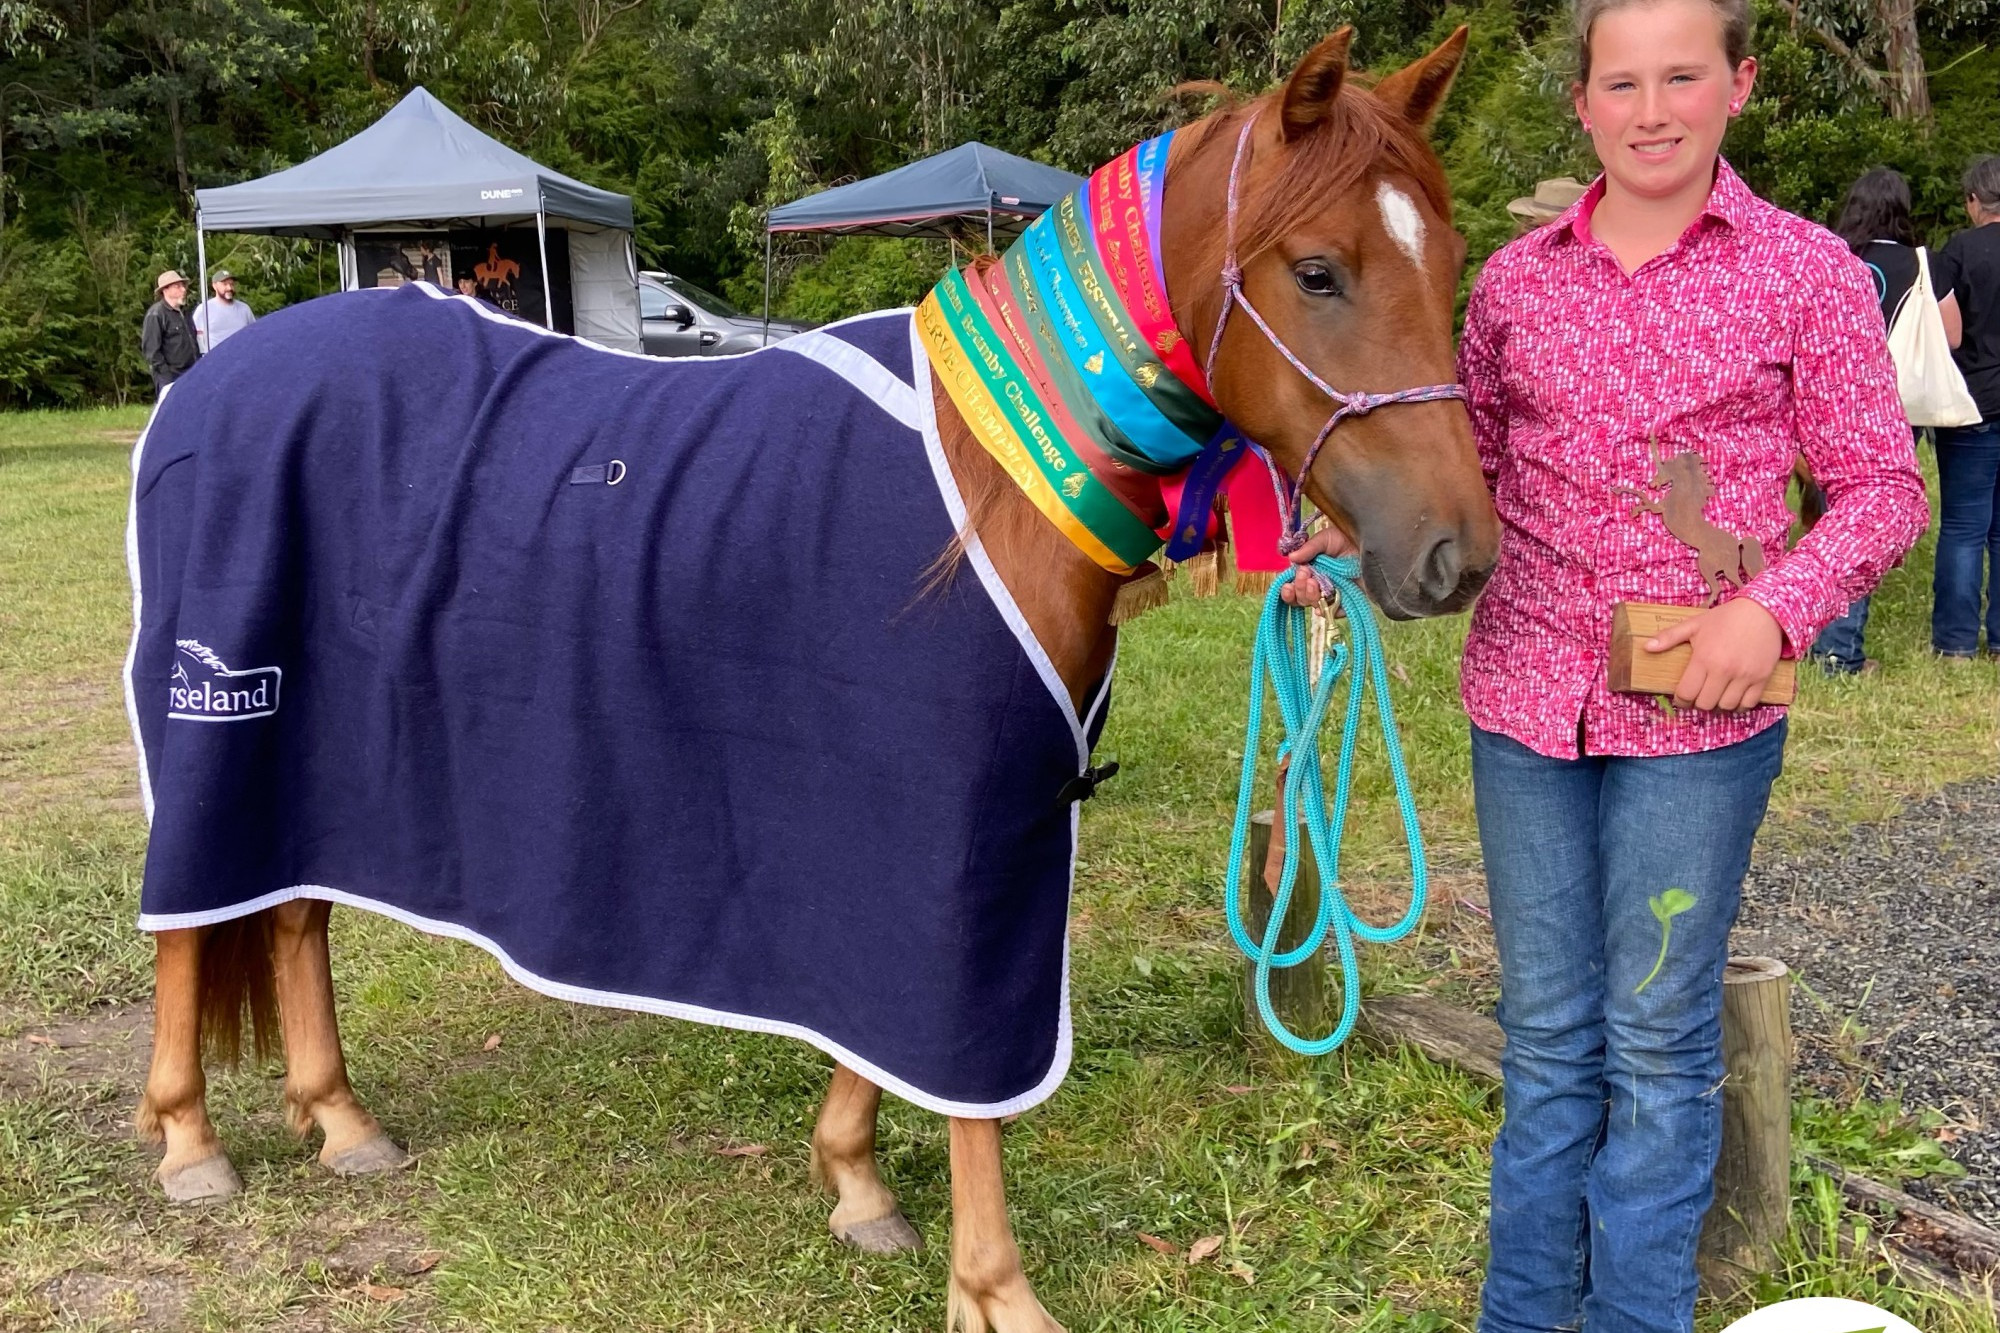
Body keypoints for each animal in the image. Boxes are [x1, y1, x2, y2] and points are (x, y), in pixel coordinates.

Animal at [137, 26, 1504, 1320]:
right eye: (1316, 270)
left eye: (1448, 260)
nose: (1456, 555)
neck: (996, 483)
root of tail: (212, 382)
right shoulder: (963, 834)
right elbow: (966, 1075)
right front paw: (994, 1288)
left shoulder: (921, 839)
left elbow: (879, 1036)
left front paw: (854, 1184)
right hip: (229, 731)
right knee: (195, 928)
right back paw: (192, 1142)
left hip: (324, 762)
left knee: (294, 913)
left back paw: (341, 1119)